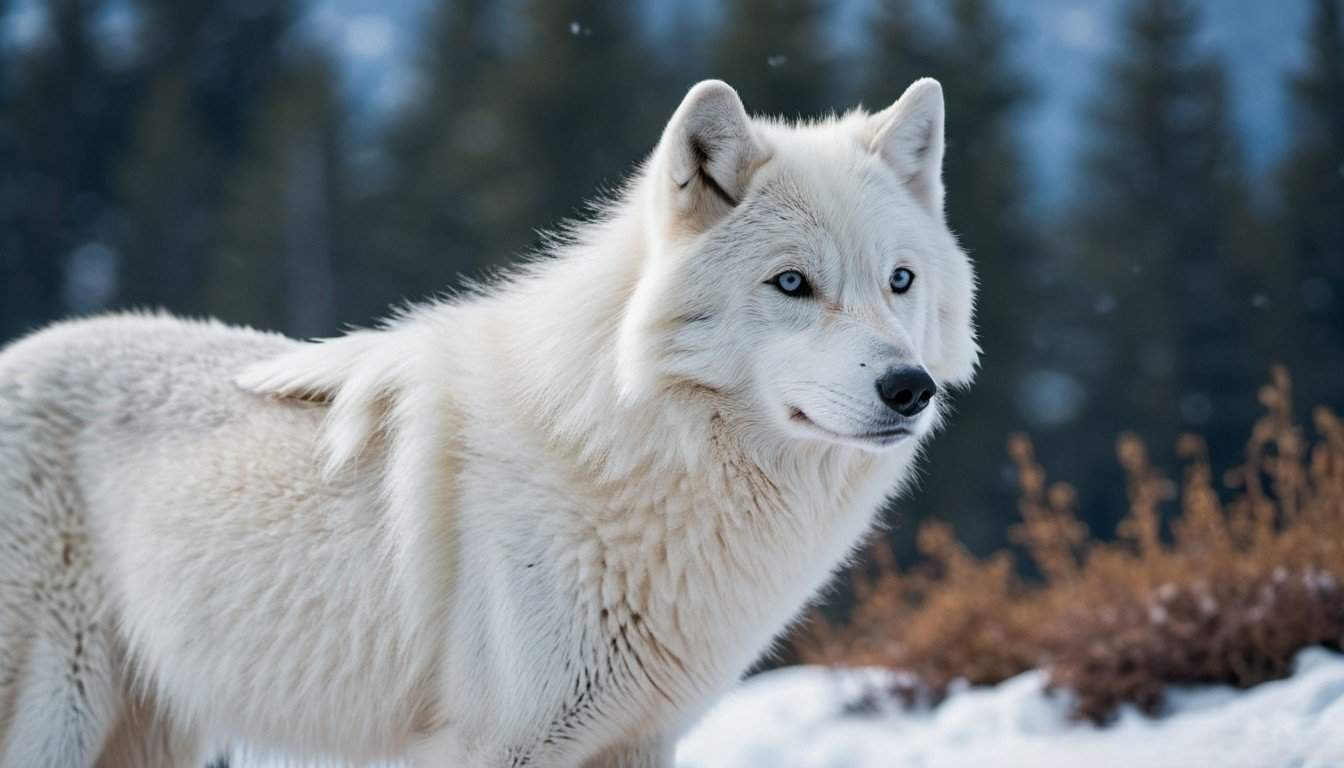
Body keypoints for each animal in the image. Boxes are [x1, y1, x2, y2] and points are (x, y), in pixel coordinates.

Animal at [0, 79, 973, 768]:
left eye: (899, 280)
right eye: (792, 284)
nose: (910, 387)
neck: (630, 457)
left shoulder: (638, 743)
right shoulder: (492, 746)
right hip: (54, 717)